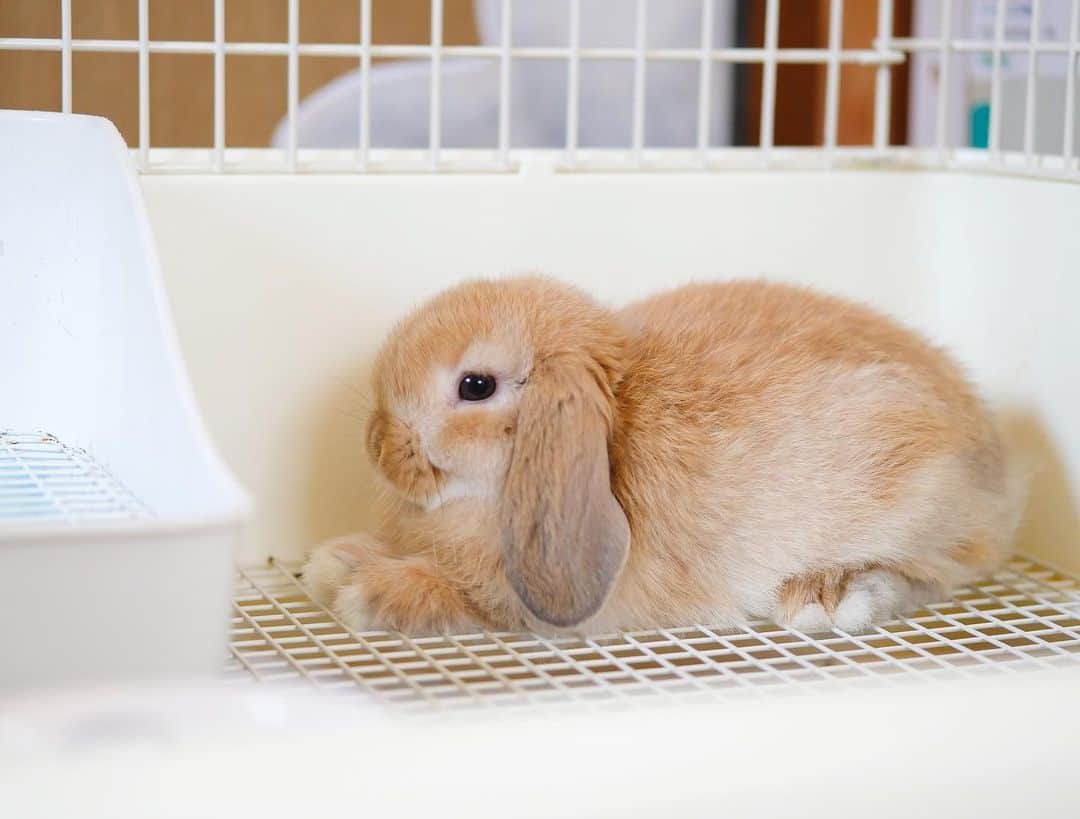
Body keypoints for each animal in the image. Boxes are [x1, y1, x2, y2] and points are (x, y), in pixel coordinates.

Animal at [303, 276, 1023, 635]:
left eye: (475, 386)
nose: (377, 444)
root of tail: (995, 463)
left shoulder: (535, 597)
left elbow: (467, 597)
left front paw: (369, 594)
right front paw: (333, 561)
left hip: (916, 499)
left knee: (940, 570)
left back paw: (827, 595)